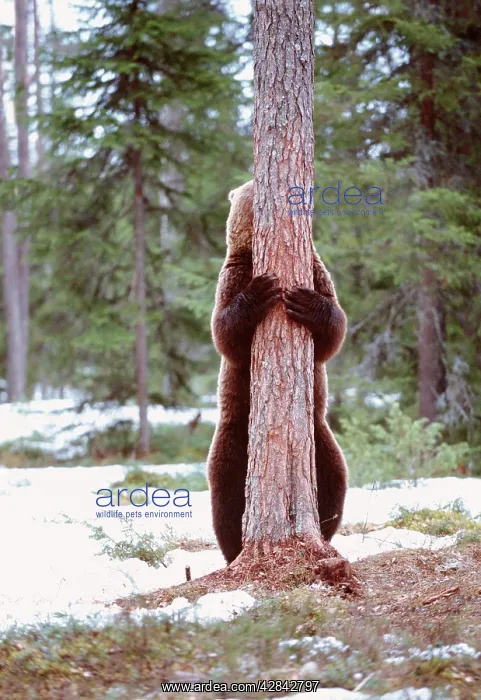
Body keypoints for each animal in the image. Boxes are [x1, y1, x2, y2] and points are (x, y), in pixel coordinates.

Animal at [207, 180, 348, 564]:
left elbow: (333, 330)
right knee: (225, 494)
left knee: (334, 477)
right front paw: (260, 292)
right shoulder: (235, 272)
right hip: (233, 435)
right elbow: (225, 332)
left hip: (316, 435)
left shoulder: (315, 268)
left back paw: (324, 529)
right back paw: (234, 547)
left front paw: (306, 303)